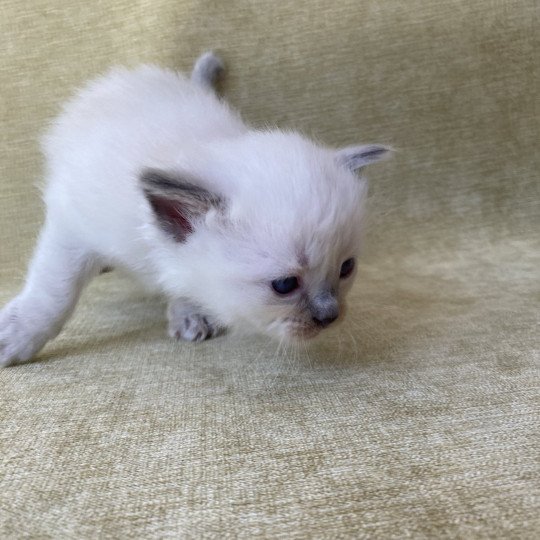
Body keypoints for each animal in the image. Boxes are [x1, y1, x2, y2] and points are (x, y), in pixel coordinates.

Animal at [0, 51, 388, 368]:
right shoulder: (72, 228)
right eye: (284, 285)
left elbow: (184, 282)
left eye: (346, 269)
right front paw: (19, 335)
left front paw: (189, 311)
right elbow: (55, 292)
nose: (330, 316)